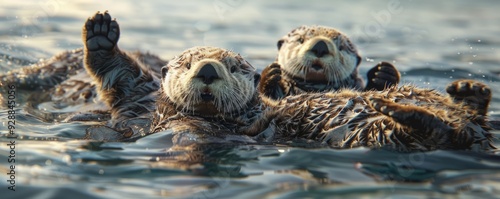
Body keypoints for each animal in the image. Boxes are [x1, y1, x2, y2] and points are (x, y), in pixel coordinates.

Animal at [260, 64, 494, 152]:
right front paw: (269, 76)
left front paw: (270, 74)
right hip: (387, 132)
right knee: (439, 132)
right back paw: (391, 108)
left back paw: (470, 91)